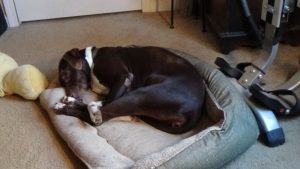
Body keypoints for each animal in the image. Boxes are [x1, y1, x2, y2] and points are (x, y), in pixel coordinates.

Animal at [54, 46, 206, 133]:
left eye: (66, 75)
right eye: (62, 81)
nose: (71, 94)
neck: (92, 60)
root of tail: (198, 110)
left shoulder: (124, 78)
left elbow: (104, 102)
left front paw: (93, 108)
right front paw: (72, 100)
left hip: (140, 96)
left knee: (98, 117)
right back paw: (66, 103)